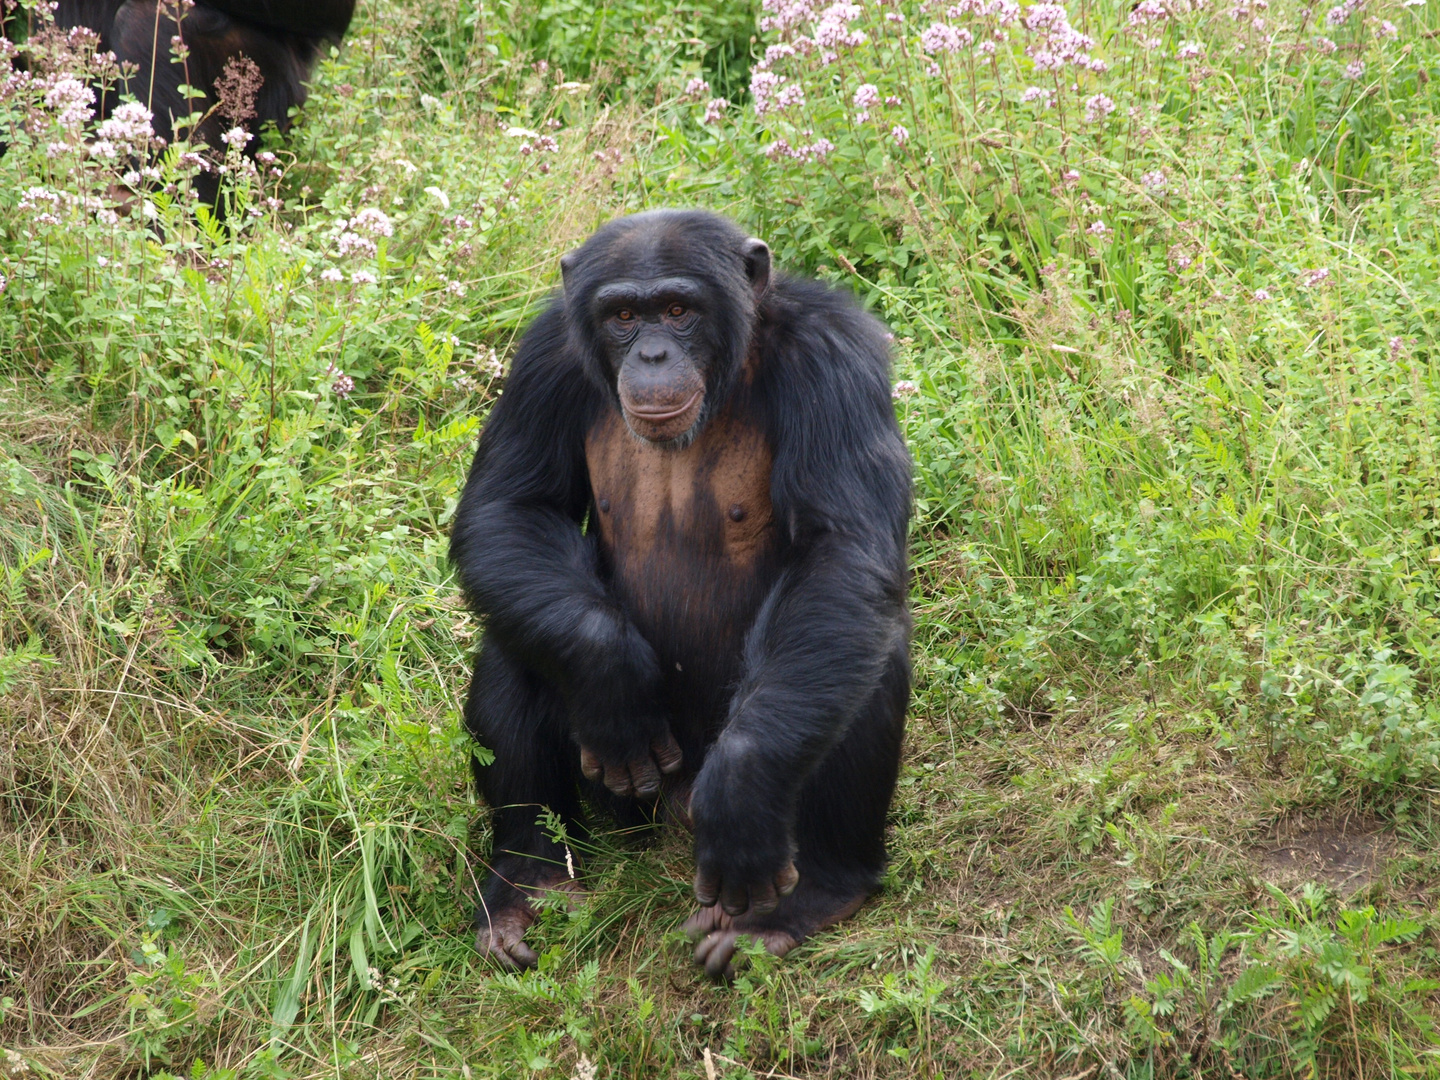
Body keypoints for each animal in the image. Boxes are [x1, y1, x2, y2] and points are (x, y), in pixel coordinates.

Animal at [449, 211, 910, 979]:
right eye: (622, 317)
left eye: (677, 310)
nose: (655, 354)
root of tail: (672, 809)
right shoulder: (543, 356)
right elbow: (509, 507)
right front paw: (611, 674)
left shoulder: (833, 356)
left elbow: (840, 548)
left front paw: (745, 794)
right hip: (619, 799)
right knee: (515, 641)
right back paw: (528, 882)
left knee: (853, 644)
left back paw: (808, 898)